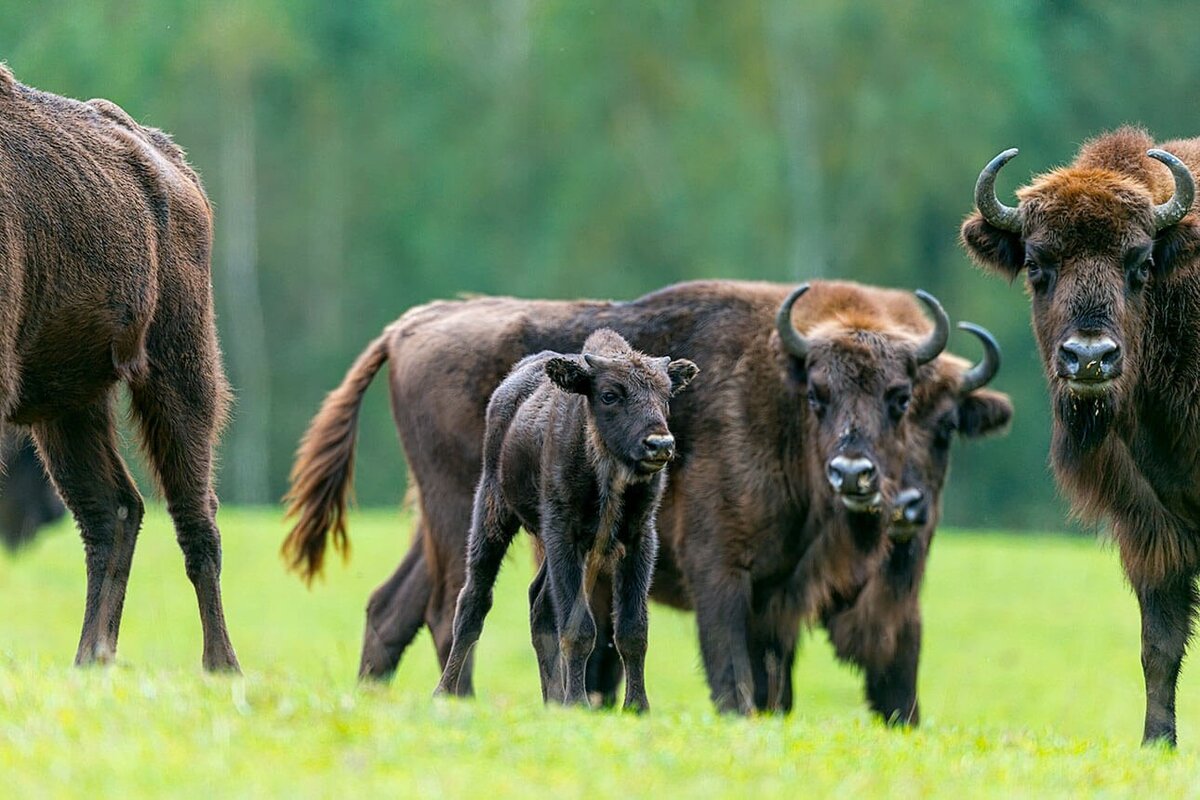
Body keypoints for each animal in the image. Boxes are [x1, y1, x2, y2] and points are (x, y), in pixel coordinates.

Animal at [0, 65, 241, 671]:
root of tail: (178, 167)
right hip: (67, 401)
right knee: (111, 511)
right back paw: (92, 657)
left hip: (178, 369)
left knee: (194, 515)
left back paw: (220, 665)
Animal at [434, 328, 696, 710]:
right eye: (609, 395)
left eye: (665, 395)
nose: (659, 444)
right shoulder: (564, 534)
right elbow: (578, 628)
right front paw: (579, 702)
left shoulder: (638, 538)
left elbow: (632, 629)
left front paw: (636, 707)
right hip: (492, 511)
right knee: (474, 601)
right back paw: (444, 692)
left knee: (540, 602)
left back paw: (552, 701)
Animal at [960, 123, 1200, 743]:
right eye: (1037, 264)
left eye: (1140, 263)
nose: (1089, 358)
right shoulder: (1151, 527)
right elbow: (1160, 646)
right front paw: (1156, 742)